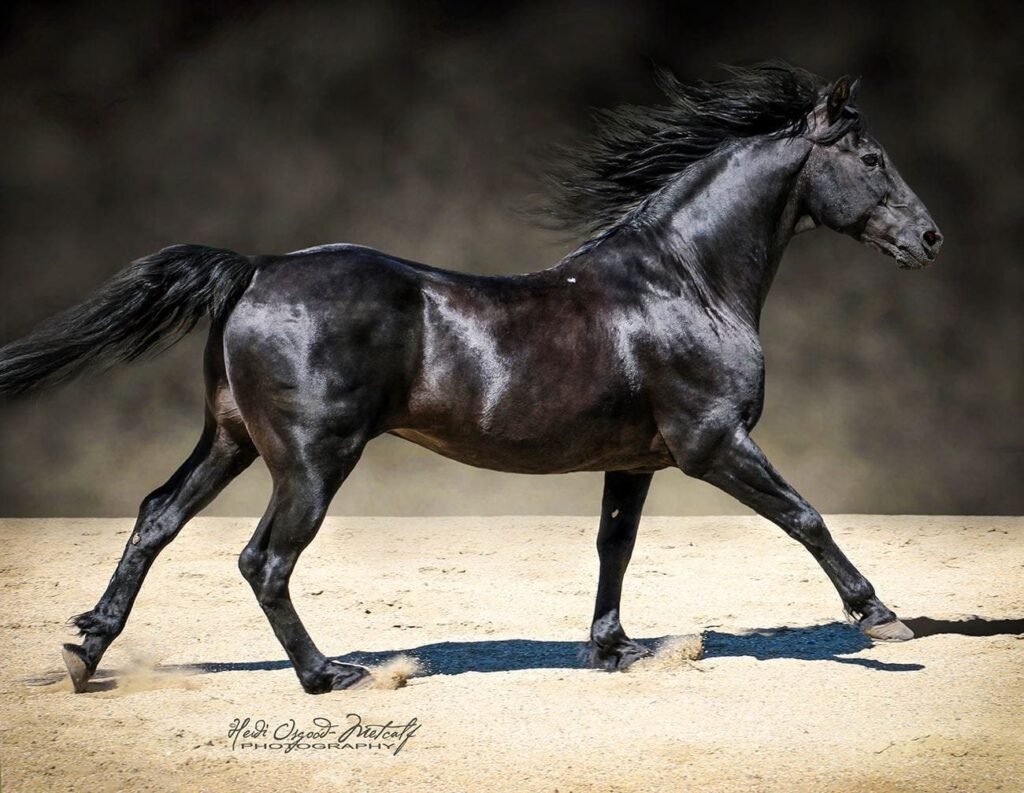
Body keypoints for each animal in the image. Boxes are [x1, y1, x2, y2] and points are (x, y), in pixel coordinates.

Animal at [0, 63, 942, 694]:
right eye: (869, 157)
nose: (931, 239)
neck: (685, 280)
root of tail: (259, 268)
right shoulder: (713, 442)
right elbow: (805, 515)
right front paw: (880, 616)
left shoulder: (634, 458)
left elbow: (615, 546)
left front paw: (614, 648)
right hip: (310, 459)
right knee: (263, 559)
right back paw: (330, 673)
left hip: (231, 439)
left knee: (157, 517)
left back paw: (83, 652)